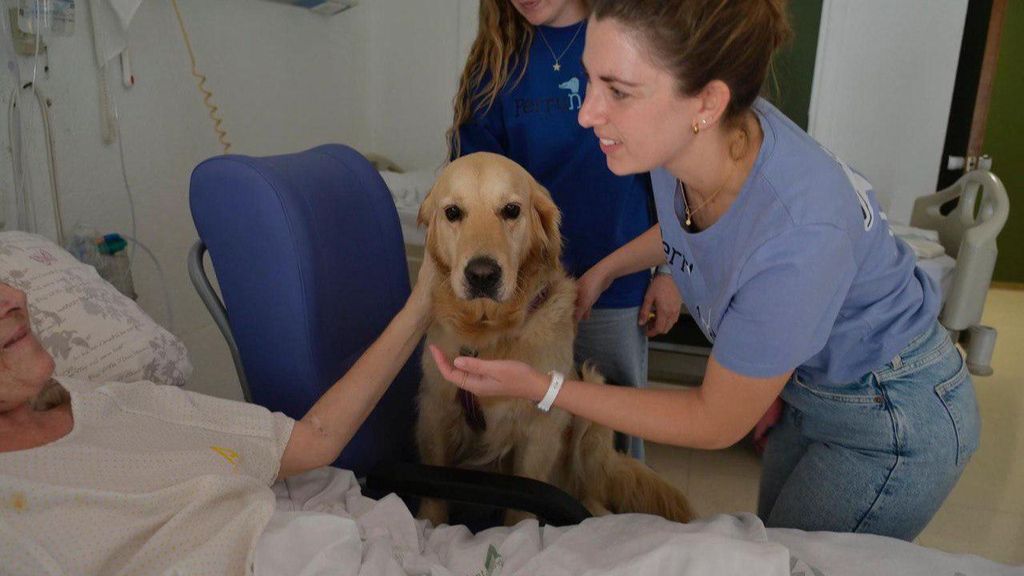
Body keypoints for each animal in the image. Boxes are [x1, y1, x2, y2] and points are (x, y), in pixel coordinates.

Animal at [415, 152, 696, 524]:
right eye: (452, 213)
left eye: (511, 210)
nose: (482, 275)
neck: (491, 333)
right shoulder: (435, 410)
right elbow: (434, 492)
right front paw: (428, 522)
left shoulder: (541, 430)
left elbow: (523, 501)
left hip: (592, 408)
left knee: (590, 492)